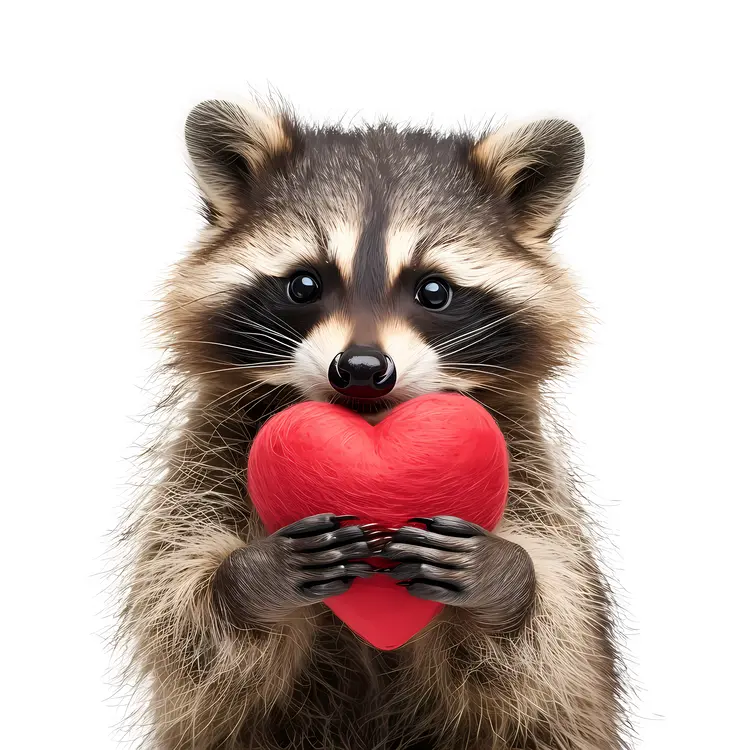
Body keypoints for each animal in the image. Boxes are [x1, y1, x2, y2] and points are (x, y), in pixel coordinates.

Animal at [116, 98, 629, 750]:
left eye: (433, 290)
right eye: (304, 284)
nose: (361, 368)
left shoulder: (524, 460)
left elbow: (550, 644)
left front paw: (505, 579)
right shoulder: (211, 443)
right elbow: (184, 622)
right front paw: (249, 578)